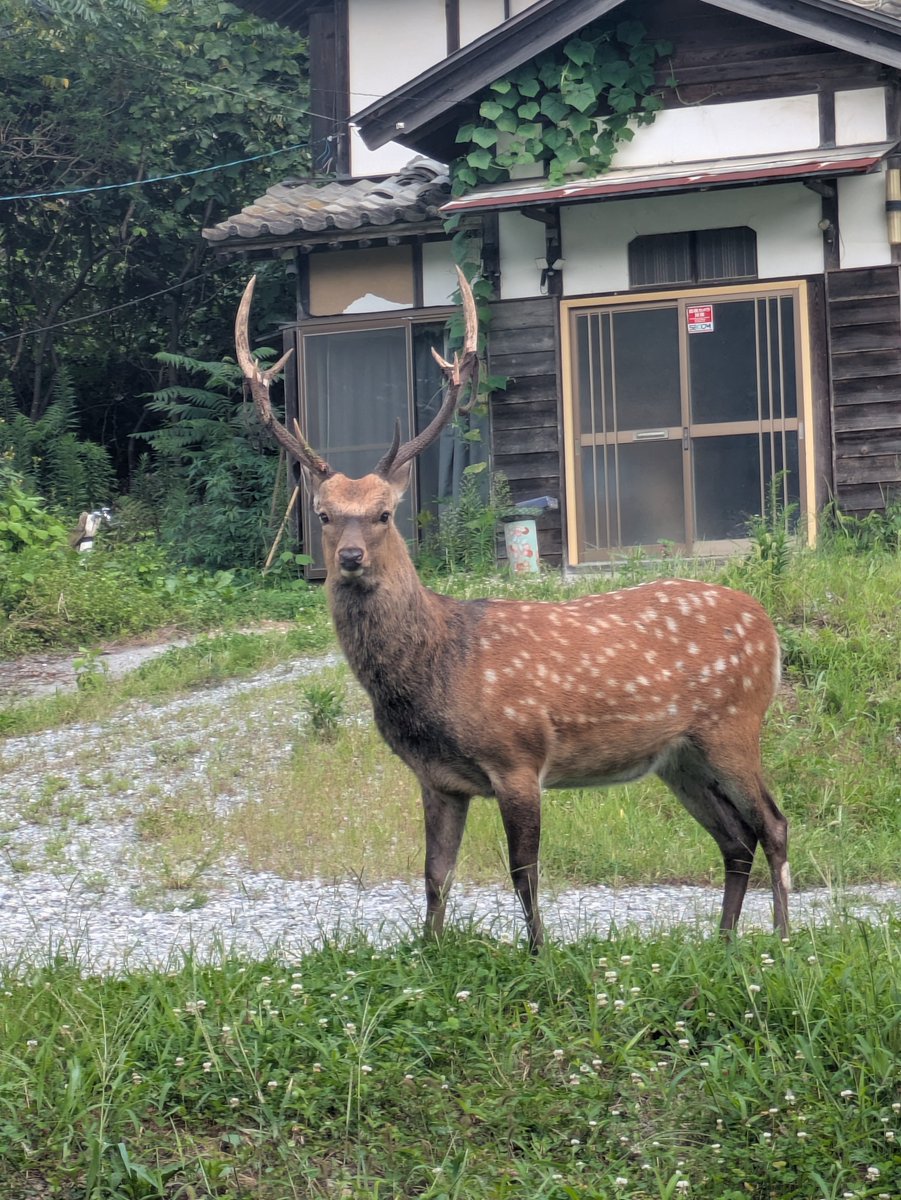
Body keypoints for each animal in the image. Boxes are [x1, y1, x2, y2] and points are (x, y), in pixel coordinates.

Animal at [236, 269, 790, 951]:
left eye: (384, 514)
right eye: (322, 515)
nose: (350, 557)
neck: (437, 667)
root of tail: (768, 628)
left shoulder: (518, 755)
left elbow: (523, 871)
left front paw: (539, 953)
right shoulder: (437, 779)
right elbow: (434, 875)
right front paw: (430, 950)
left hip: (734, 723)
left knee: (773, 823)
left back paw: (782, 938)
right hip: (678, 757)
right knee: (735, 839)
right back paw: (724, 940)